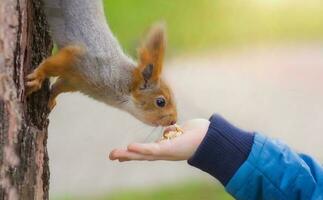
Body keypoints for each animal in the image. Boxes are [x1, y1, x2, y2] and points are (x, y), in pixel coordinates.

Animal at [25, 0, 178, 126]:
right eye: (160, 102)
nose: (174, 121)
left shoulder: (74, 82)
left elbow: (59, 86)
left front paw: (51, 99)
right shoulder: (79, 58)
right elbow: (53, 64)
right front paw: (37, 77)